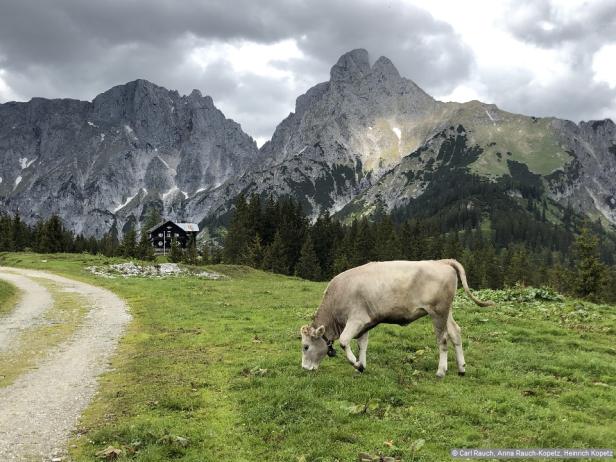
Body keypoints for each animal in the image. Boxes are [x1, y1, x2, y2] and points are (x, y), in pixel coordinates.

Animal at [300, 258, 494, 378]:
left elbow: (344, 341)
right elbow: (362, 345)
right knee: (455, 333)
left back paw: (441, 371)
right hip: (447, 311)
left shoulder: (356, 320)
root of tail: (441, 261)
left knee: (443, 340)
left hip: (437, 312)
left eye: (305, 346)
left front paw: (356, 364)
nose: (304, 368)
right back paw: (461, 369)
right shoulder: (365, 323)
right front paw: (361, 366)